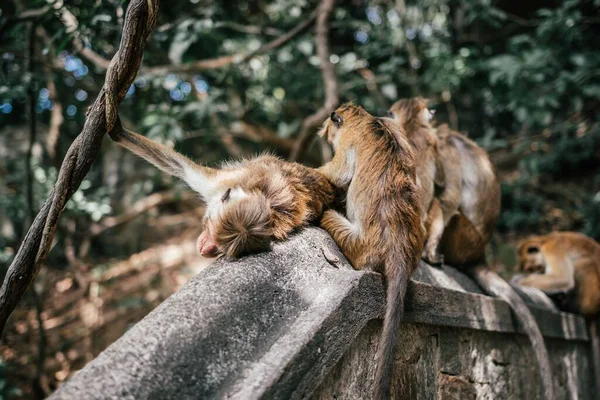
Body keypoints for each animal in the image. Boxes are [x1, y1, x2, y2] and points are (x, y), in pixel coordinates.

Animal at [316, 104, 424, 400]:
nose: (327, 135)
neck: (367, 119)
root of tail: (399, 248)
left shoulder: (348, 141)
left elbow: (339, 173)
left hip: (359, 246)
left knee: (330, 216)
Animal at [512, 231, 600, 390]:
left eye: (533, 268)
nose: (538, 271)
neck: (546, 240)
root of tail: (594, 313)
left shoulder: (553, 250)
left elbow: (562, 278)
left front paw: (518, 280)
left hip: (587, 299)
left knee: (582, 263)